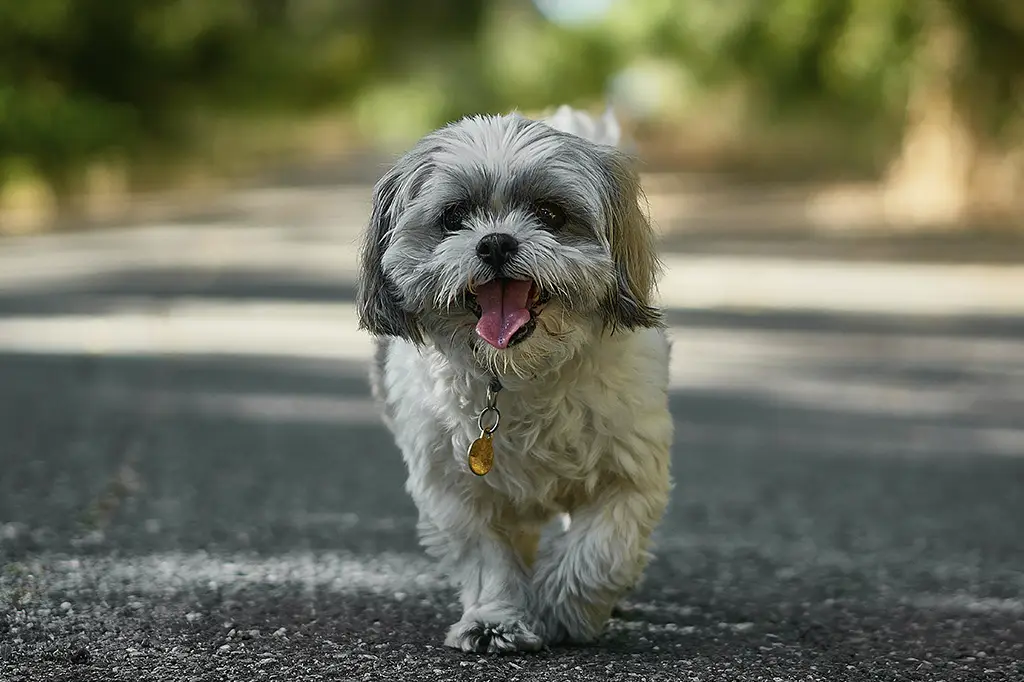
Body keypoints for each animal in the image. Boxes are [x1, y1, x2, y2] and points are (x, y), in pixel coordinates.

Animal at [358, 104, 671, 647]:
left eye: (550, 214)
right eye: (453, 217)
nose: (496, 242)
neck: (518, 375)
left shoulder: (629, 473)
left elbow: (600, 550)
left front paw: (564, 609)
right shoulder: (453, 490)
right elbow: (487, 558)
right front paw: (495, 619)